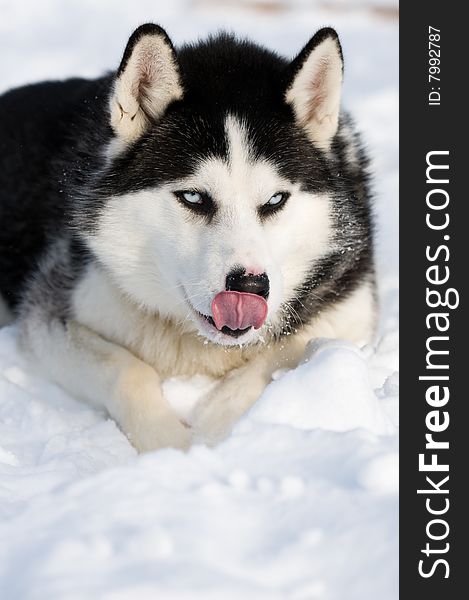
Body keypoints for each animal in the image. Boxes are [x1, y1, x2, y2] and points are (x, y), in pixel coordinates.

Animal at [0, 25, 372, 452]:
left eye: (276, 200)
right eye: (194, 197)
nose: (250, 287)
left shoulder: (352, 309)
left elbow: (290, 348)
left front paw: (214, 427)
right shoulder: (49, 312)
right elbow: (125, 369)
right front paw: (171, 447)